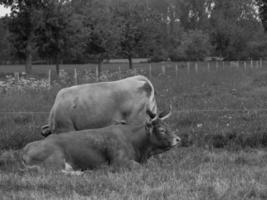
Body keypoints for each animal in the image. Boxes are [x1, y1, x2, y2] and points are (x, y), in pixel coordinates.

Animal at [21, 108, 180, 172]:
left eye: (169, 126)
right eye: (161, 129)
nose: (178, 139)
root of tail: (26, 148)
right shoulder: (118, 162)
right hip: (56, 159)